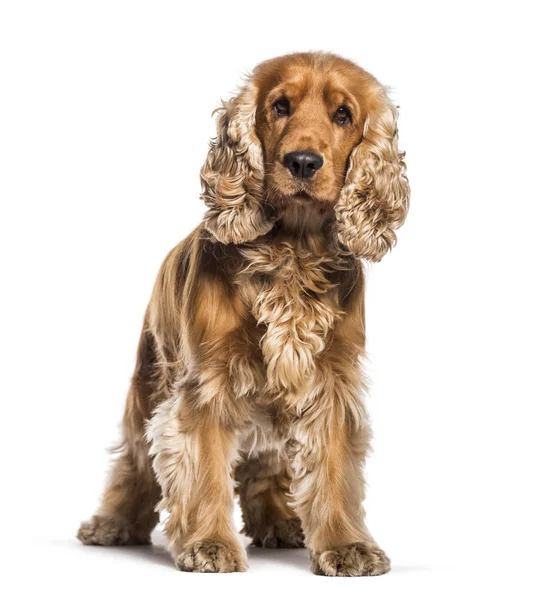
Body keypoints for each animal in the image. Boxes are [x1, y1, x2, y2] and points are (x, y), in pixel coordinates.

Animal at [76, 51, 410, 576]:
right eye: (280, 106)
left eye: (343, 115)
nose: (302, 161)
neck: (292, 249)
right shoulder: (207, 381)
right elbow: (203, 466)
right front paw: (209, 543)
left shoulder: (331, 383)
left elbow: (333, 469)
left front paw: (346, 545)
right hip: (148, 381)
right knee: (134, 460)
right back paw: (113, 523)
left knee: (265, 464)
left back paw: (279, 520)